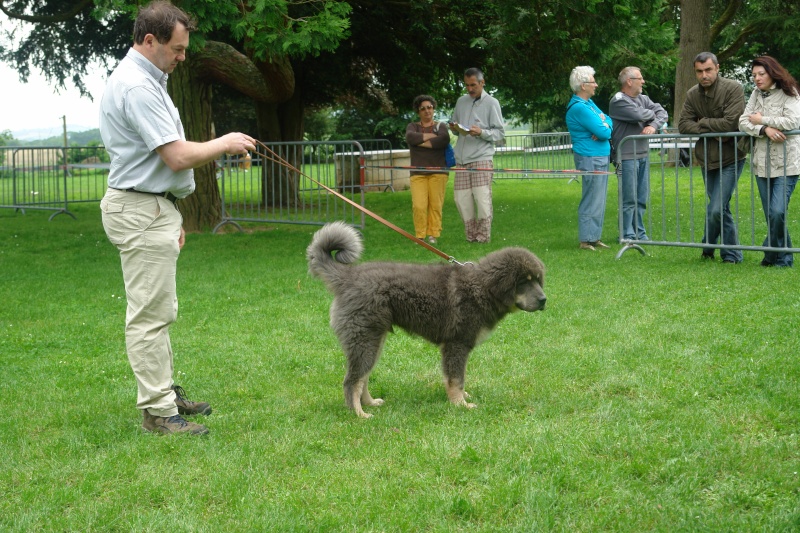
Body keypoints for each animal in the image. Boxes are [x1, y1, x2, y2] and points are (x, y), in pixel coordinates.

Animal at [304, 220, 544, 416]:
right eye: (524, 281)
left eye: (538, 280)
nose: (544, 300)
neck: (482, 288)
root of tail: (348, 276)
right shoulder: (456, 345)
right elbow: (456, 380)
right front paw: (460, 405)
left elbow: (458, 379)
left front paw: (461, 399)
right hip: (364, 340)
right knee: (352, 381)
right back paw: (359, 413)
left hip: (373, 340)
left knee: (363, 377)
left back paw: (370, 404)